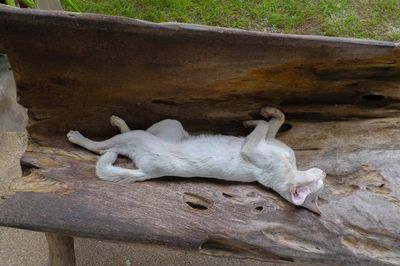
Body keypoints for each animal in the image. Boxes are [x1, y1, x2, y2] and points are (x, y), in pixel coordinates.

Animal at [68, 106, 324, 214]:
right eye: (321, 185)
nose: (323, 173)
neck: (291, 168)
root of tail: (149, 172)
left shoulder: (252, 147)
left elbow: (262, 126)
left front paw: (253, 120)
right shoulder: (267, 138)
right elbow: (277, 119)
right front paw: (263, 114)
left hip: (138, 139)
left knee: (101, 148)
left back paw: (78, 136)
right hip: (170, 124)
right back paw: (118, 121)